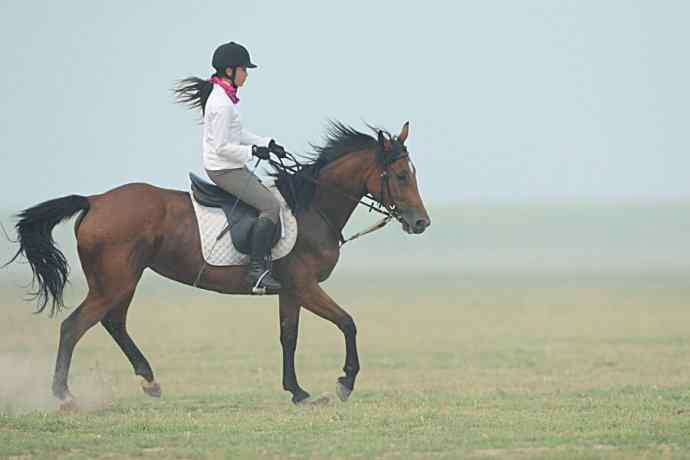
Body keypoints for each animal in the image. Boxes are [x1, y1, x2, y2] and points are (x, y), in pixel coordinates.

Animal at [9, 121, 430, 406]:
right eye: (399, 175)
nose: (421, 223)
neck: (313, 208)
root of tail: (95, 200)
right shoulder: (306, 286)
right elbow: (348, 323)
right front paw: (345, 383)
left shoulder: (290, 291)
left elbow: (288, 337)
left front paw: (297, 392)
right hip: (114, 282)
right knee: (73, 326)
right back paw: (64, 395)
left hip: (123, 281)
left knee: (113, 322)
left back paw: (149, 381)